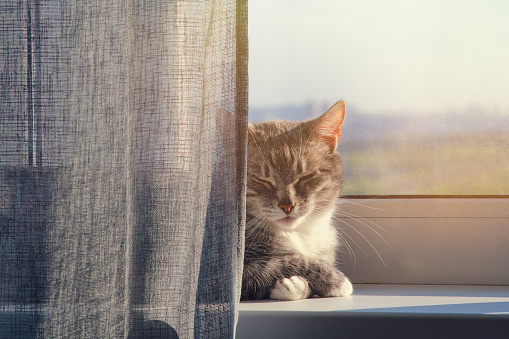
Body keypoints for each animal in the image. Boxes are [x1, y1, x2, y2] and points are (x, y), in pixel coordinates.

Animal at [240, 101, 352, 302]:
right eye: (263, 180)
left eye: (305, 177)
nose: (287, 205)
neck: (298, 234)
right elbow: (281, 261)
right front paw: (335, 280)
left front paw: (296, 286)